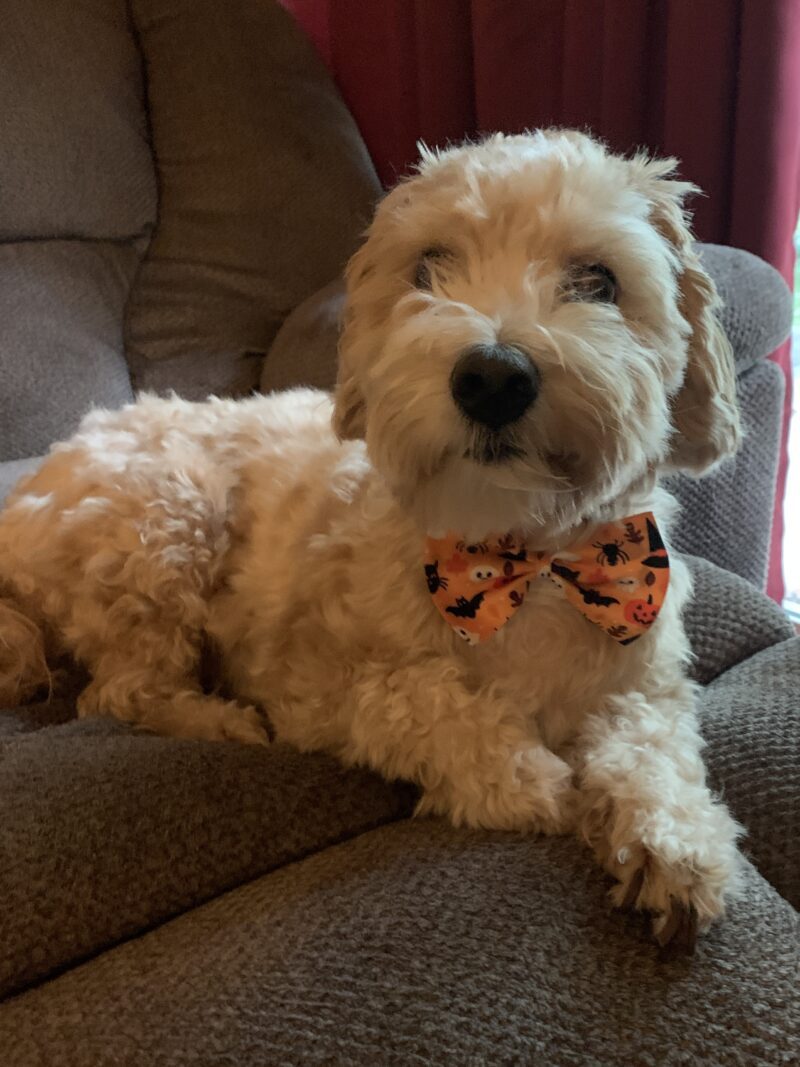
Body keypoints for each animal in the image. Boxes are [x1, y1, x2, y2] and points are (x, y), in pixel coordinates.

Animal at [0, 131, 746, 951]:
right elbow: (427, 704)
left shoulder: (646, 680)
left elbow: (653, 749)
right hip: (165, 517)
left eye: (598, 280)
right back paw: (221, 719)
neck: (527, 560)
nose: (492, 376)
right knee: (118, 691)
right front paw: (530, 782)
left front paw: (674, 843)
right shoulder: (318, 688)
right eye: (427, 267)